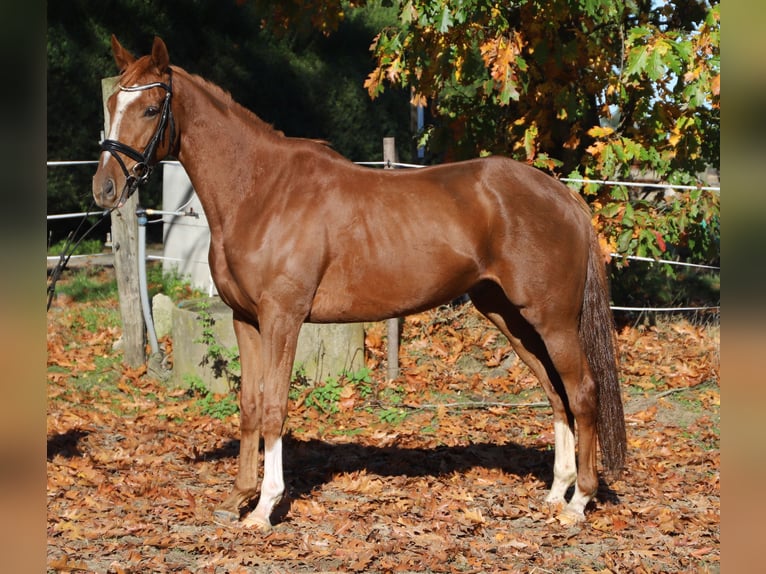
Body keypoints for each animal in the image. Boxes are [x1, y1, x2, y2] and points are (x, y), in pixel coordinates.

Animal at [92, 35, 626, 530]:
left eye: (150, 107)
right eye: (111, 105)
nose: (104, 189)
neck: (261, 192)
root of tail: (560, 194)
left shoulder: (282, 318)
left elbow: (274, 406)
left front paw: (265, 508)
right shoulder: (245, 319)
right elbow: (249, 404)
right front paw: (239, 496)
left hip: (553, 320)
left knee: (583, 391)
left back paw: (579, 501)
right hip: (508, 315)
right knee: (555, 392)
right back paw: (557, 492)